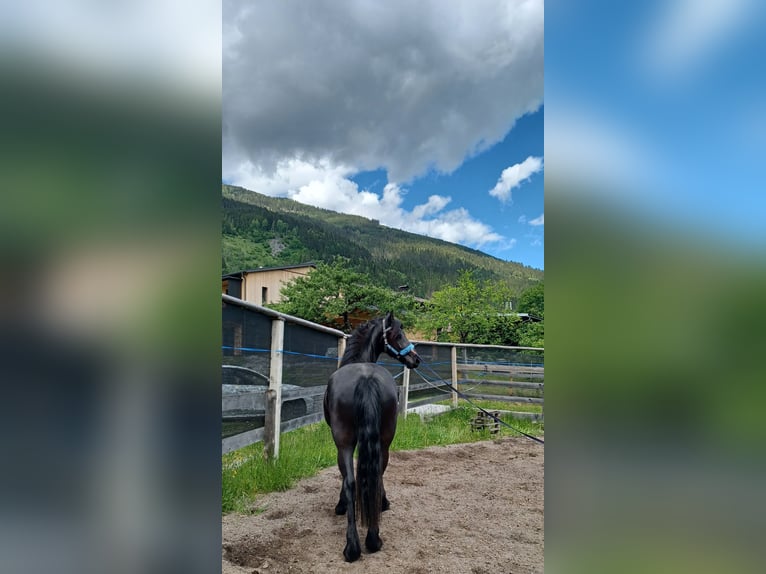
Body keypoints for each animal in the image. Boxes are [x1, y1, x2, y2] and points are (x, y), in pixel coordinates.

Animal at [322, 312, 424, 564]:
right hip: (383, 440)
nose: (416, 359)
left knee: (352, 482)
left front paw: (341, 506)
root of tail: (366, 379)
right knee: (375, 474)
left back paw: (354, 547)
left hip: (345, 443)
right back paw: (372, 538)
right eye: (398, 334)